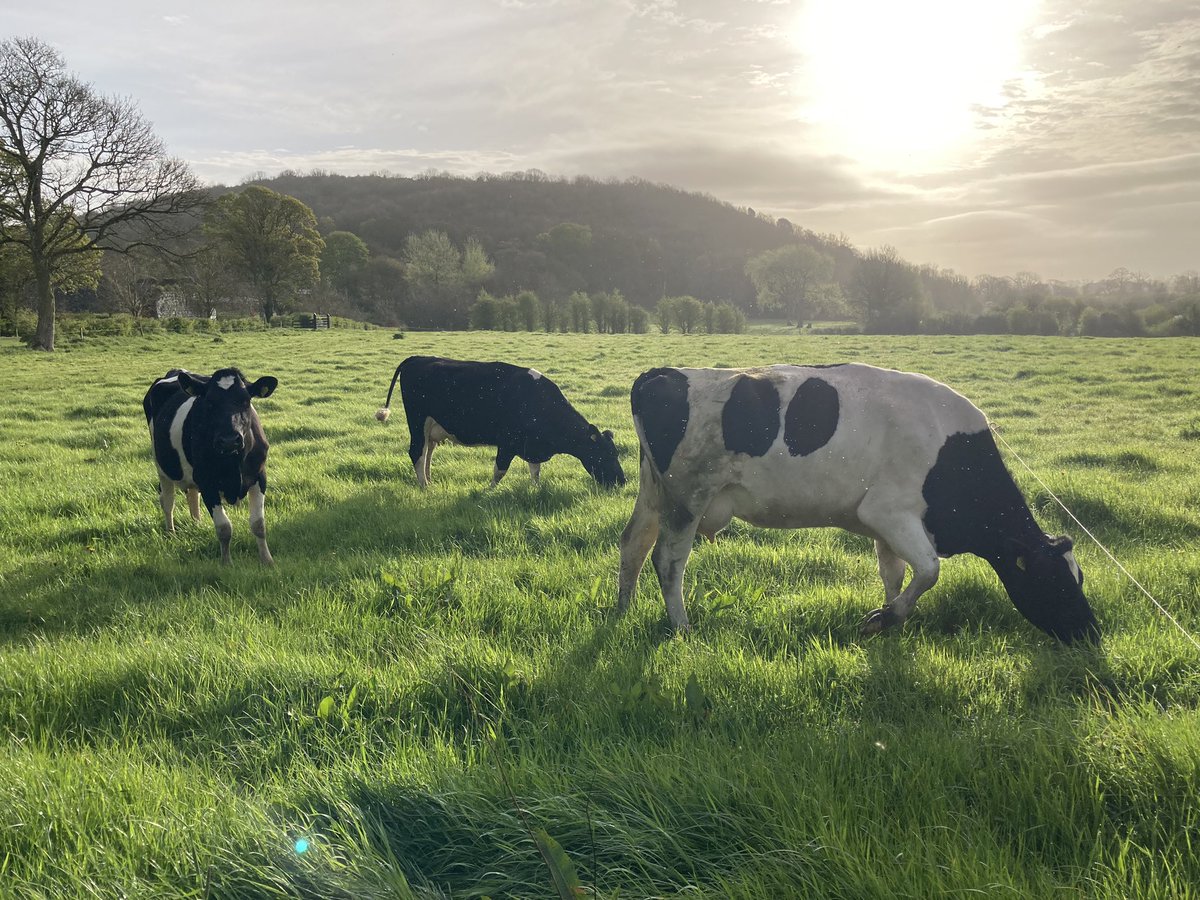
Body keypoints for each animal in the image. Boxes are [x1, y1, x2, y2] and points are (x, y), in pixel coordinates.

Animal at [144, 367, 279, 564]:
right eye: (209, 403)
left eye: (245, 400)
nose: (229, 440)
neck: (233, 463)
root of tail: (175, 371)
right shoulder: (207, 483)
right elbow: (224, 528)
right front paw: (226, 563)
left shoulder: (259, 476)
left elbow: (258, 524)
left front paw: (267, 561)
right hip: (162, 468)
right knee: (167, 501)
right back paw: (171, 534)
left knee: (192, 495)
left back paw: (197, 524)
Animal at [376, 355, 628, 489]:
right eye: (604, 456)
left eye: (616, 453)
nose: (621, 481)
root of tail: (417, 358)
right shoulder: (507, 442)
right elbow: (499, 471)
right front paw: (488, 492)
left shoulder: (532, 445)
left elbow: (535, 471)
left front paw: (536, 489)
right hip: (417, 421)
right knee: (416, 452)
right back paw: (425, 487)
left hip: (431, 428)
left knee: (427, 451)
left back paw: (429, 480)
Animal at [624, 362, 1099, 643]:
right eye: (1058, 582)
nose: (1092, 633)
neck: (953, 453)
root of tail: (664, 373)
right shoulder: (890, 512)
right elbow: (929, 570)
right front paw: (885, 618)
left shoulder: (883, 527)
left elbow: (896, 573)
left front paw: (892, 618)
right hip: (687, 497)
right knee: (668, 561)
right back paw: (681, 626)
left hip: (653, 494)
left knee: (632, 545)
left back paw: (620, 611)